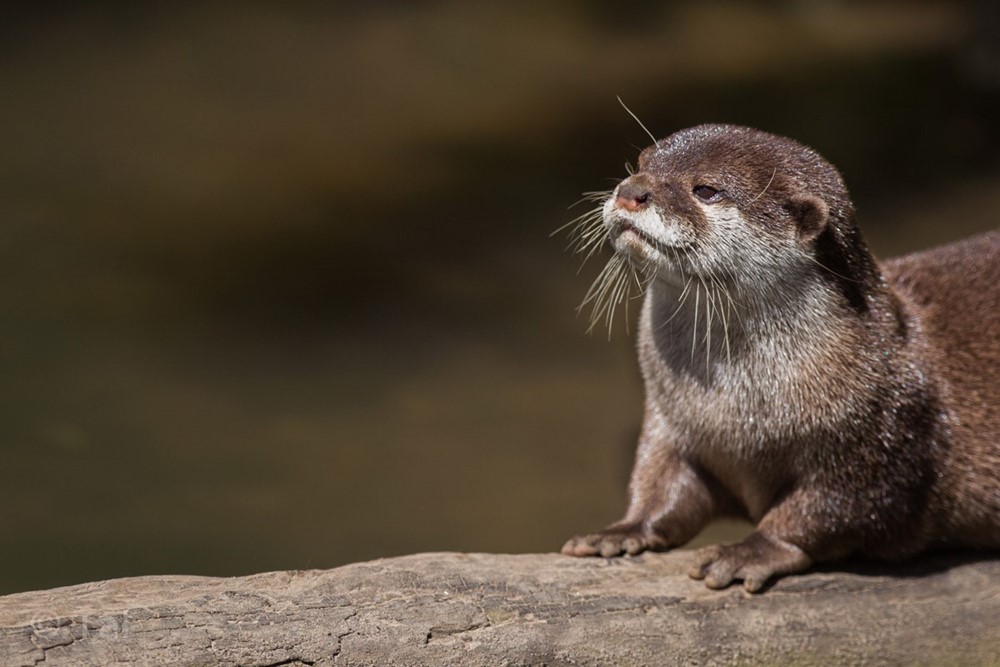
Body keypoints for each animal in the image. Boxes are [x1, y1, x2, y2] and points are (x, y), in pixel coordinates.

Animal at [561, 124, 1000, 592]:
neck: (742, 412)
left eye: (707, 190)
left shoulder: (887, 438)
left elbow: (835, 507)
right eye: (640, 164)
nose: (631, 191)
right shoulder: (670, 419)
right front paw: (622, 531)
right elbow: (661, 480)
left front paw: (748, 552)